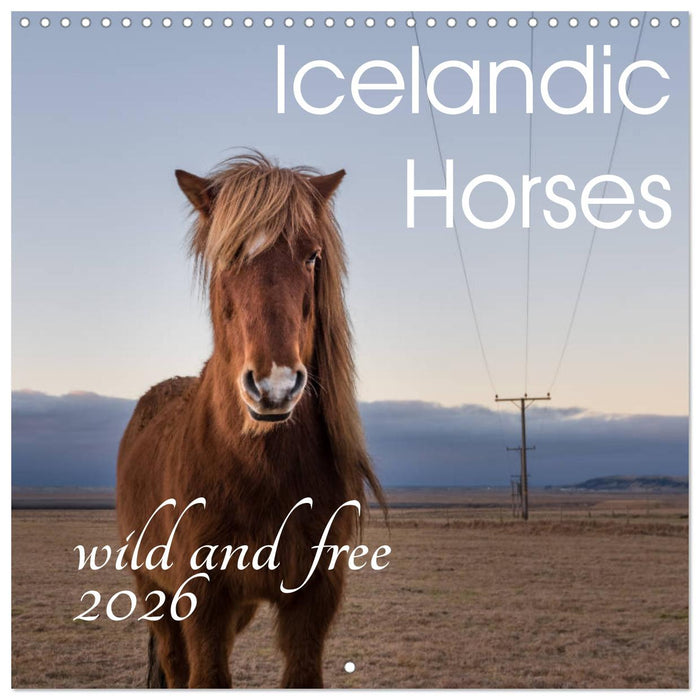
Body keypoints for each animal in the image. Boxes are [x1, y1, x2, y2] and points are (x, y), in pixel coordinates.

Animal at [116, 153, 386, 688]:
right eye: (226, 255)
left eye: (311, 256)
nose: (274, 385)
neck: (260, 473)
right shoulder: (203, 601)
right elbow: (204, 675)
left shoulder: (312, 601)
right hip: (154, 590)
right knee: (174, 662)